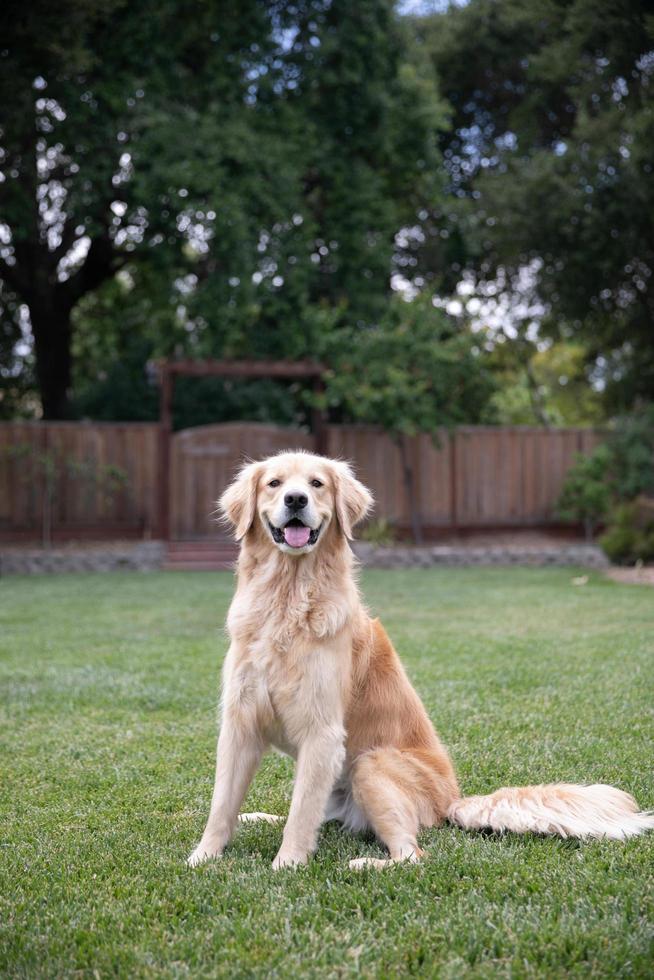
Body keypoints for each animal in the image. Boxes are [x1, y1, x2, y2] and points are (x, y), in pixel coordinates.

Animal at [188, 448, 654, 868]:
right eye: (275, 483)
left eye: (317, 484)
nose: (296, 500)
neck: (287, 598)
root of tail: (453, 800)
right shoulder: (240, 722)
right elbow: (222, 804)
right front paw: (203, 857)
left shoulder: (321, 731)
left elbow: (301, 817)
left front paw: (287, 865)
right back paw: (262, 816)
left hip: (370, 763)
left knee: (411, 854)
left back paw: (367, 863)